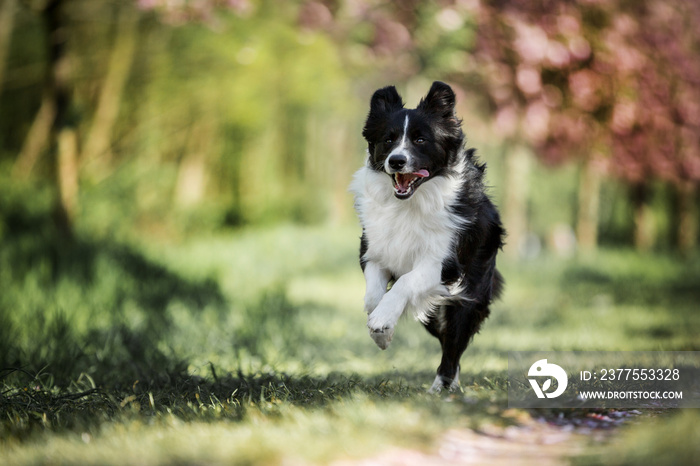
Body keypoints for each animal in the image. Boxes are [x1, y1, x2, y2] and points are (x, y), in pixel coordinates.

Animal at [350, 81, 504, 394]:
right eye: (388, 140)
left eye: (421, 140)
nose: (397, 161)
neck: (409, 203)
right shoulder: (373, 251)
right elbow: (373, 296)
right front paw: (382, 332)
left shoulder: (443, 265)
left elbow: (404, 283)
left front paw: (382, 320)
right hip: (435, 313)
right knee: (445, 338)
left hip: (468, 291)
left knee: (454, 344)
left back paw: (441, 388)